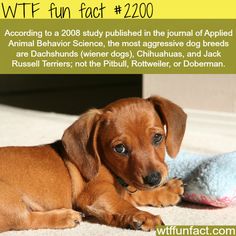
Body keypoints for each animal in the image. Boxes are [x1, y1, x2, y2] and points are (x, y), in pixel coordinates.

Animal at [0, 96, 186, 232]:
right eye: (120, 148)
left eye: (157, 137)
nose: (154, 179)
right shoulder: (97, 194)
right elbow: (122, 203)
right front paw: (143, 215)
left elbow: (136, 194)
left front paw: (167, 190)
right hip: (8, 198)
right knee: (25, 219)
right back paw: (65, 217)